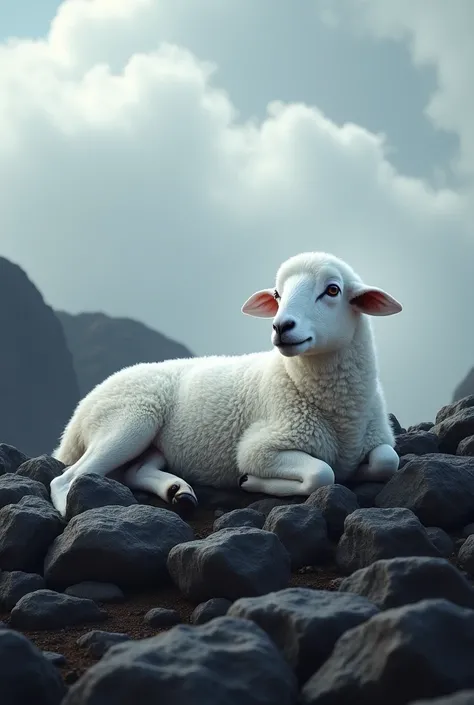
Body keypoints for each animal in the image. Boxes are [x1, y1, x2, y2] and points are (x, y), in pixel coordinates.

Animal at [50, 249, 402, 516]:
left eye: (332, 290)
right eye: (278, 294)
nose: (281, 326)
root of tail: (77, 416)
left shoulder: (377, 439)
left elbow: (387, 460)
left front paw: (358, 470)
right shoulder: (259, 446)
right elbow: (321, 473)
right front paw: (251, 481)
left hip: (151, 442)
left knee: (135, 470)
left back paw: (179, 492)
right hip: (129, 420)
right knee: (66, 478)